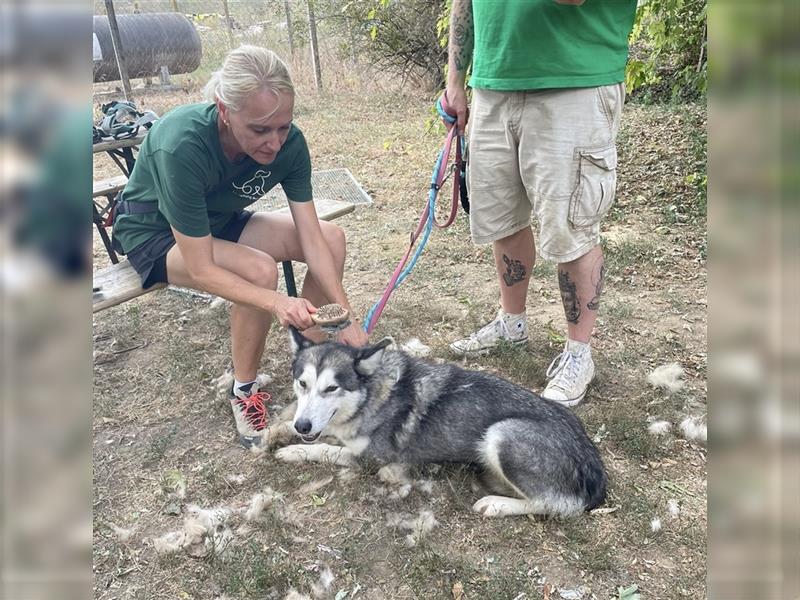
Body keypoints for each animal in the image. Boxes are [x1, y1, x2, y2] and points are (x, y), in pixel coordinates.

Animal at [272, 330, 608, 516]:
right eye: (302, 384)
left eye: (331, 388)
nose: (303, 426)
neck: (374, 394)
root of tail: (591, 461)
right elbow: (321, 435)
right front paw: (278, 432)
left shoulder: (371, 458)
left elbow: (326, 450)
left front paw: (292, 450)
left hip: (502, 433)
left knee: (557, 504)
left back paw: (497, 504)